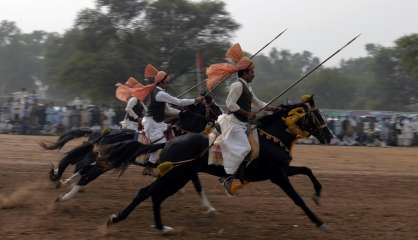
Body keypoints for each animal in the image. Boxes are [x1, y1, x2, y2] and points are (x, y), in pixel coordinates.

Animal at [107, 95, 334, 232]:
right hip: (175, 175)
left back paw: (159, 226)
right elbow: (298, 199)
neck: (273, 137)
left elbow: (307, 170)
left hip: (178, 176)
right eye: (316, 114)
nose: (329, 136)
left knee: (154, 195)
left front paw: (318, 194)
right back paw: (119, 218)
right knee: (147, 193)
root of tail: (169, 142)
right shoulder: (278, 175)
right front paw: (320, 222)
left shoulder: (282, 170)